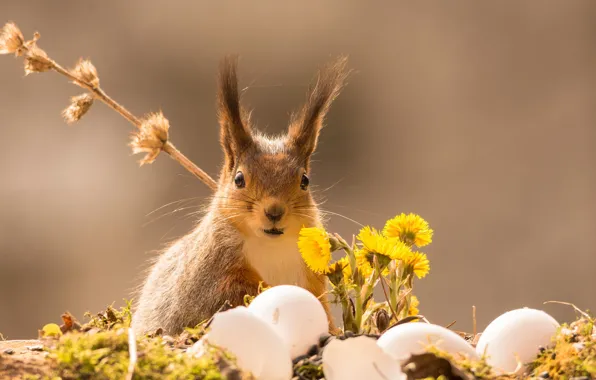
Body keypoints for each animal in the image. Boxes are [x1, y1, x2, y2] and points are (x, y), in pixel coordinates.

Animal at [132, 56, 350, 336]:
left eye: (305, 181)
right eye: (239, 179)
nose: (274, 212)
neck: (271, 246)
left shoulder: (312, 276)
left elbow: (321, 307)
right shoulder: (209, 277)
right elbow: (229, 296)